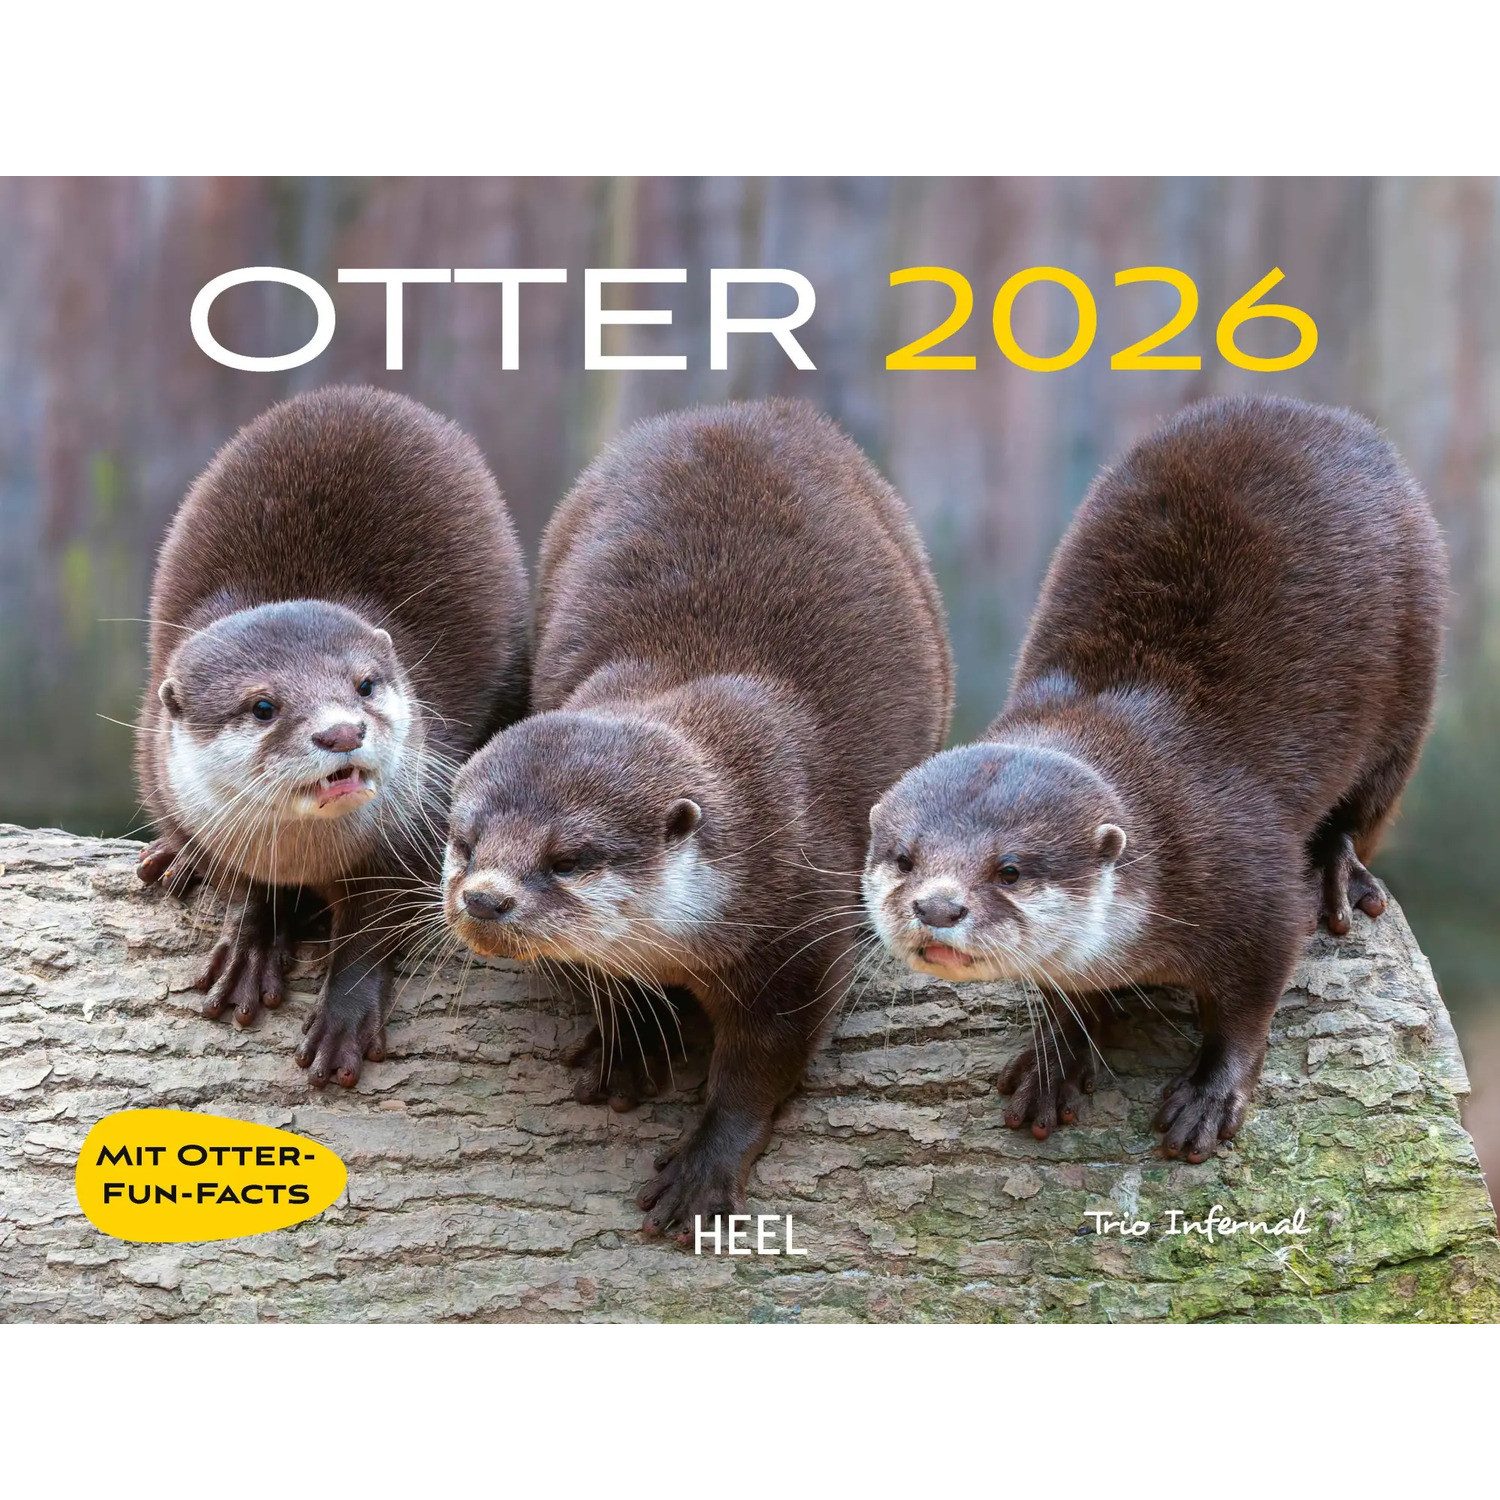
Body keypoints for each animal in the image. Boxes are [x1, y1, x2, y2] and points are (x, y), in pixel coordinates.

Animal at [136, 385, 529, 1085]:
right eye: (264, 705)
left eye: (365, 685)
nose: (342, 731)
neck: (310, 859)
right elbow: (245, 882)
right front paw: (251, 942)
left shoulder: (421, 829)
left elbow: (376, 924)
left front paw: (343, 1017)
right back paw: (174, 860)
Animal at [442, 399, 952, 1240]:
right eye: (464, 842)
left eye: (569, 858)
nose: (483, 897)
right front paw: (632, 1044)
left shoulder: (800, 932)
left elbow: (763, 1063)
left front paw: (705, 1166)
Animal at [865, 395, 1445, 1162]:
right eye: (904, 859)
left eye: (1010, 869)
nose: (936, 906)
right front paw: (1055, 1059)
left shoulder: (1253, 885)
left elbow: (1250, 1003)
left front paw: (1208, 1096)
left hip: (1413, 669)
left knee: (1370, 803)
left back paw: (1338, 872)